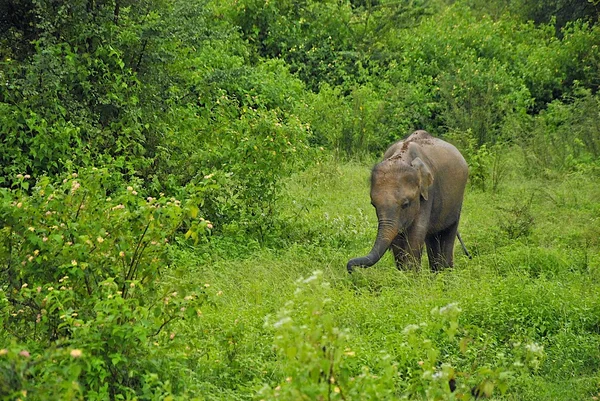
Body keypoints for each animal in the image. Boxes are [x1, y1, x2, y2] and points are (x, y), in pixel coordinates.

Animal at [346, 130, 468, 272]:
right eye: (373, 205)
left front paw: (412, 275)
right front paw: (403, 274)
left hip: (458, 199)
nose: (351, 269)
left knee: (449, 233)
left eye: (405, 204)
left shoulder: (427, 193)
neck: (402, 156)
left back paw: (445, 273)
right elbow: (398, 241)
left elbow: (415, 236)